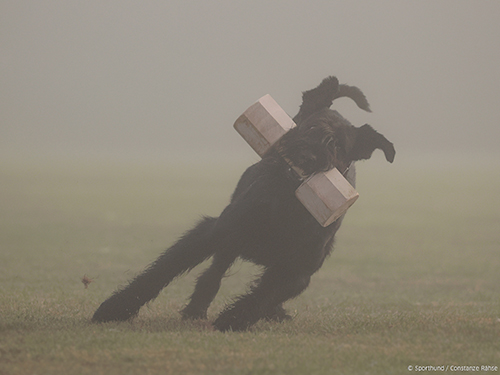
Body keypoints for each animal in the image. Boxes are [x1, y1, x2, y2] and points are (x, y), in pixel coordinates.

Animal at [91, 76, 394, 332]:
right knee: (212, 274)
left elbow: (264, 294)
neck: (288, 207)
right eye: (310, 127)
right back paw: (196, 309)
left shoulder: (299, 269)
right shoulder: (216, 231)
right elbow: (163, 270)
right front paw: (116, 307)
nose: (308, 155)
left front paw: (233, 319)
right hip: (229, 243)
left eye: (338, 146)